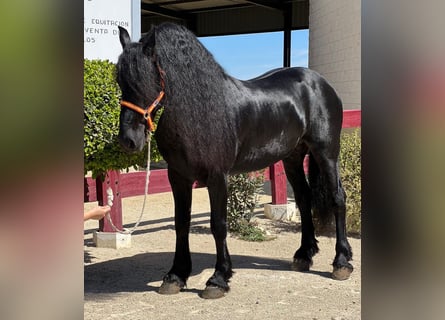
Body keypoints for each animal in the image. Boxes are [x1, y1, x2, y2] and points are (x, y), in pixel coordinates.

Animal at [116, 23, 352, 300]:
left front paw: (218, 279)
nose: (128, 140)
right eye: (120, 80)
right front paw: (176, 276)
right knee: (304, 199)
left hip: (326, 152)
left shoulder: (217, 177)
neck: (200, 112)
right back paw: (304, 255)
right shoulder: (178, 176)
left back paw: (341, 262)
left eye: (147, 80)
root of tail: (320, 82)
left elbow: (218, 224)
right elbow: (181, 222)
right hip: (292, 157)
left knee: (337, 197)